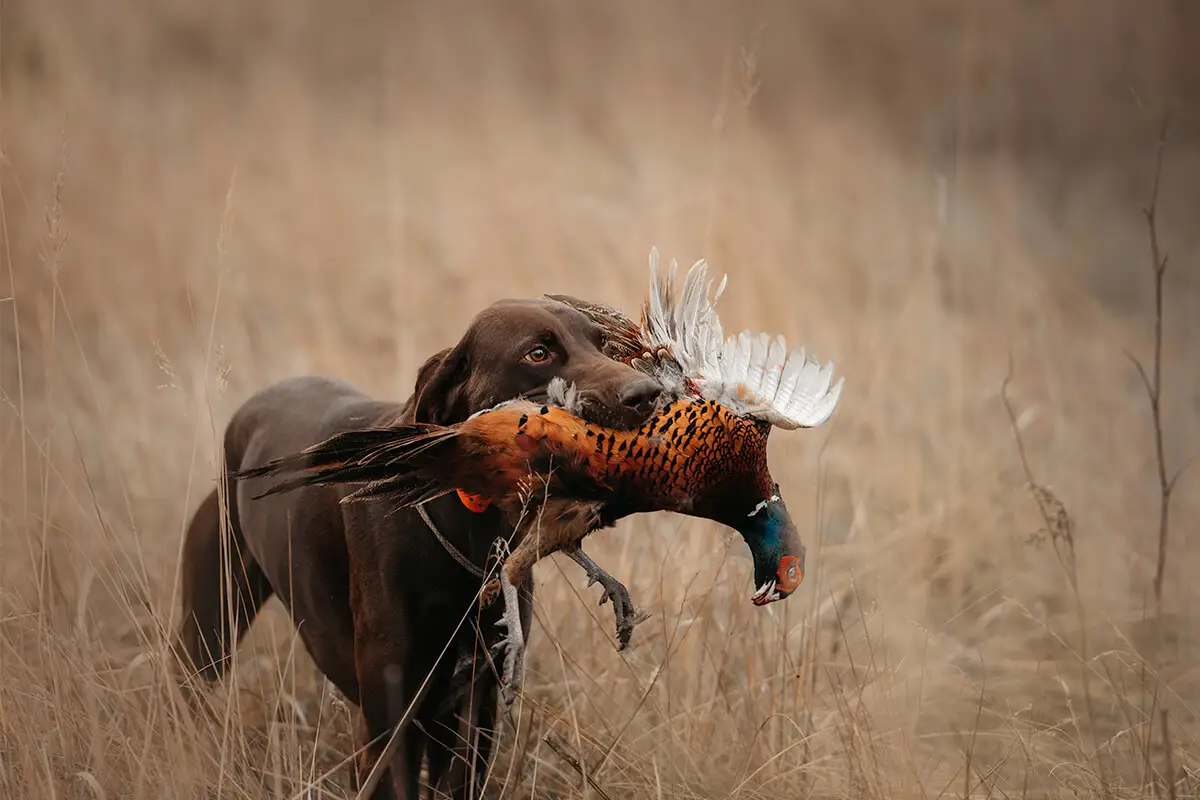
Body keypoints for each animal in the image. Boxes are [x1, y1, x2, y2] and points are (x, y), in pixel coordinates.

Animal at [175, 297, 667, 796]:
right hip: (208, 631)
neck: (468, 532)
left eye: (601, 343)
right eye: (537, 353)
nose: (648, 394)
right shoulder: (392, 722)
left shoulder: (474, 713)